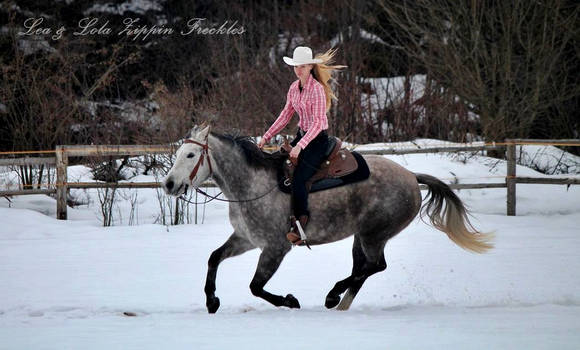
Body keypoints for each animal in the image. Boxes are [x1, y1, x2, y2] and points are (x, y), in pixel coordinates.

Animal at [163, 126, 494, 314]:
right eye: (179, 152)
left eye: (191, 155)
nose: (168, 184)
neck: (252, 185)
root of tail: (412, 177)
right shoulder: (246, 239)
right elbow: (214, 258)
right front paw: (211, 302)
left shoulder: (274, 248)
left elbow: (256, 287)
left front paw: (291, 301)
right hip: (361, 237)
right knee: (363, 270)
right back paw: (339, 303)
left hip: (374, 234)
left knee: (375, 266)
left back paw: (332, 296)